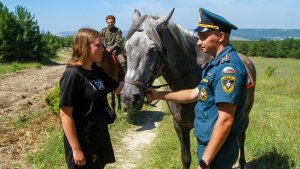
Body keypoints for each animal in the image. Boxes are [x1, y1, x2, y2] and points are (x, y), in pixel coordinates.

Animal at [121, 9, 255, 169]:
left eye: (152, 50)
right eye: (127, 47)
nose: (129, 97)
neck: (189, 79)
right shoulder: (179, 126)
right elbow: (185, 157)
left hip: (246, 114)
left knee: (241, 136)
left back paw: (241, 162)